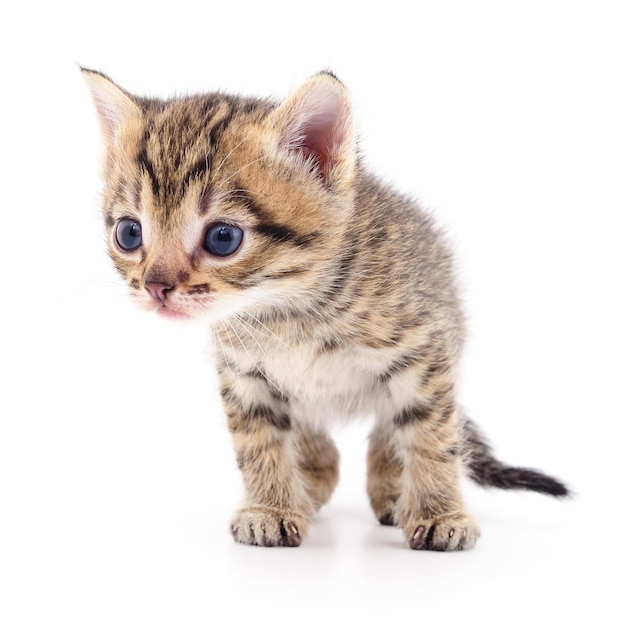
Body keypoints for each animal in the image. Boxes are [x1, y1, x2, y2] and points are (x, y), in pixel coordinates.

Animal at [83, 66, 568, 548]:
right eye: (129, 233)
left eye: (223, 238)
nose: (155, 287)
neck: (290, 311)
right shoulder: (244, 373)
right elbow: (258, 442)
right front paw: (271, 507)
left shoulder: (425, 352)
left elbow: (432, 436)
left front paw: (438, 512)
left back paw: (393, 490)